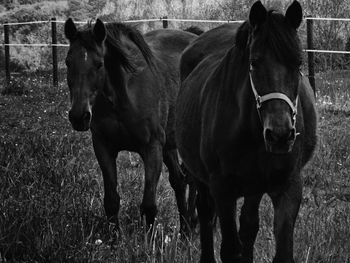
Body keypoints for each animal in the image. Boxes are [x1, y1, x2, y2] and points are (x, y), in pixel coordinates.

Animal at [64, 18, 198, 232]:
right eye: (68, 62)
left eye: (99, 64)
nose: (78, 116)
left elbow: (149, 206)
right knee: (179, 180)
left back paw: (193, 224)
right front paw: (114, 237)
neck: (124, 96)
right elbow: (111, 201)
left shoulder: (152, 149)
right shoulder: (103, 148)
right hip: (169, 146)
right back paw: (184, 229)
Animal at [176, 1, 316, 262]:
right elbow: (230, 248)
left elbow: (279, 249)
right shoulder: (222, 189)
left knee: (249, 226)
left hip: (254, 186)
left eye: (299, 63)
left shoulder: (288, 186)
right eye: (254, 63)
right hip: (202, 176)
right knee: (205, 212)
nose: (280, 135)